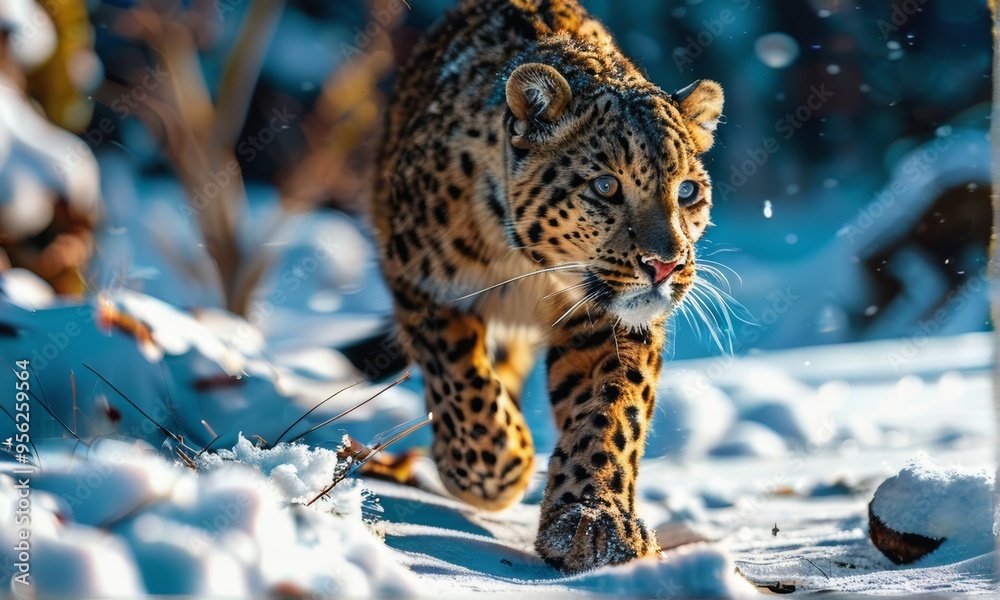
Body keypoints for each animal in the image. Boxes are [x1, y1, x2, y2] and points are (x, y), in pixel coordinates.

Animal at [371, 0, 724, 573]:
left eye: (688, 191)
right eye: (605, 187)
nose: (665, 266)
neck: (527, 266)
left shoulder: (609, 322)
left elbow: (611, 414)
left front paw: (593, 521)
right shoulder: (422, 282)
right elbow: (461, 377)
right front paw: (498, 467)